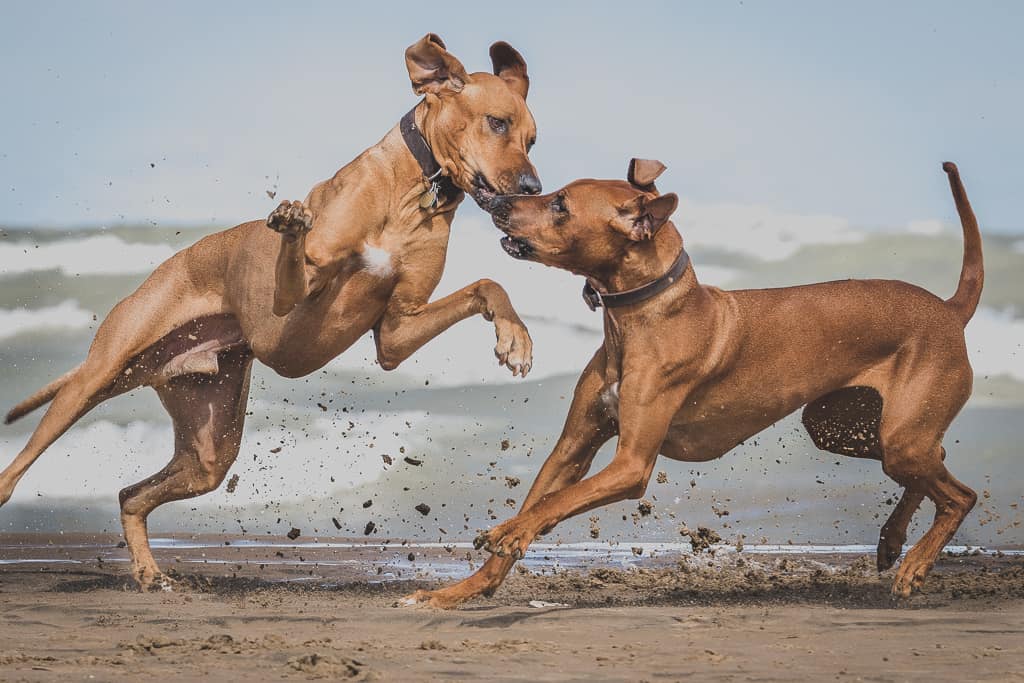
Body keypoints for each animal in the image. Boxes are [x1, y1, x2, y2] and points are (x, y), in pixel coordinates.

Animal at [0, 33, 540, 589]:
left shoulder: (397, 331)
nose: (532, 188)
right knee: (18, 468)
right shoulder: (295, 293)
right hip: (99, 372)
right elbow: (299, 258)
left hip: (208, 442)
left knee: (133, 494)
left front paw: (515, 337)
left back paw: (150, 574)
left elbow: (487, 284)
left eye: (533, 140)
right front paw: (291, 220)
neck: (413, 188)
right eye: (497, 123)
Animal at [405, 160, 983, 610]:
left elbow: (551, 505)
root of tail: (948, 309)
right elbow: (541, 501)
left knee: (960, 494)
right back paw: (892, 541)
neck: (640, 316)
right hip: (842, 427)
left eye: (561, 205)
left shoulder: (631, 464)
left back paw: (914, 564)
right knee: (933, 460)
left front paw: (507, 532)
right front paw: (457, 592)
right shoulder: (572, 448)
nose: (497, 200)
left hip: (895, 435)